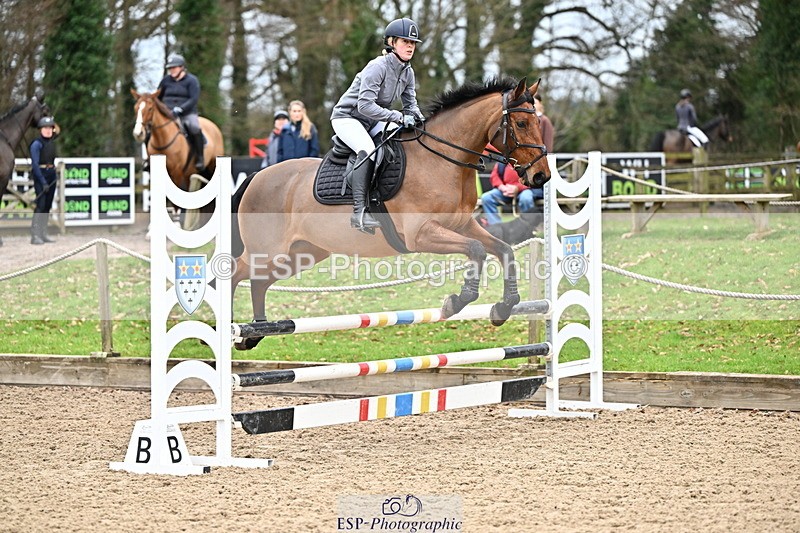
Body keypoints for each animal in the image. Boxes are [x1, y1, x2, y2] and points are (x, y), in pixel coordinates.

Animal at [231, 77, 550, 350]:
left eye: (538, 121)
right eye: (522, 123)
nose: (541, 176)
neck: (443, 161)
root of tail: (257, 177)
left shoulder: (462, 225)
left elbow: (503, 249)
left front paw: (503, 308)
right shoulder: (421, 235)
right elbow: (476, 250)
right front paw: (456, 302)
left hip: (300, 254)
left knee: (258, 281)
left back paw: (253, 334)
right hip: (269, 251)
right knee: (235, 274)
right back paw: (232, 328)